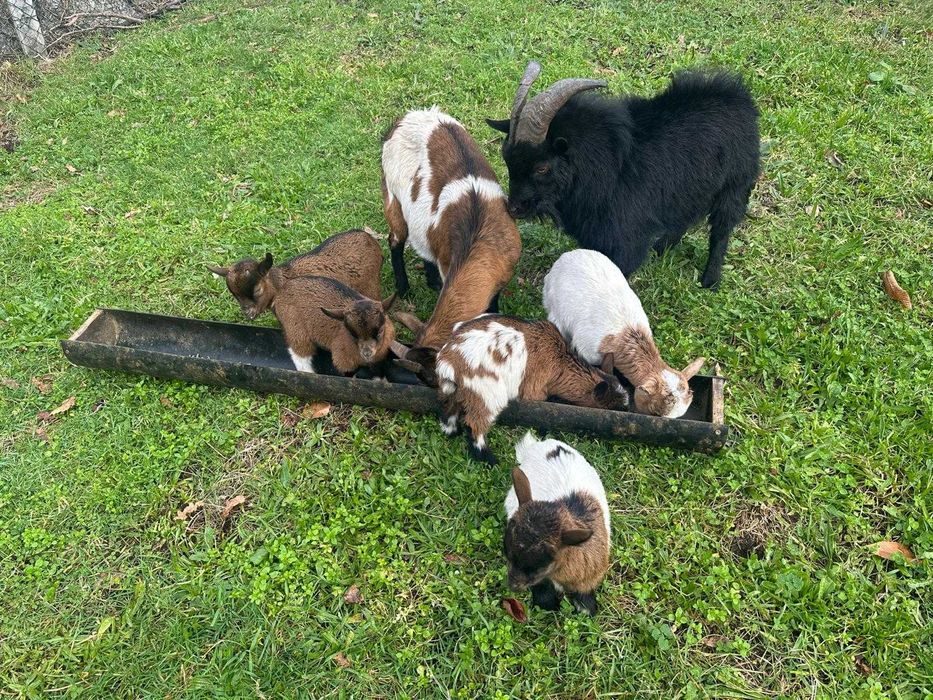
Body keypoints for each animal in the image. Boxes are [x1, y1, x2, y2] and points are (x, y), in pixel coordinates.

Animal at [207, 228, 383, 320]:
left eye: (257, 290)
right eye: (234, 295)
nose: (248, 314)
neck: (282, 282)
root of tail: (369, 237)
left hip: (371, 286)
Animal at [382, 108, 521, 377]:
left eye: (429, 377)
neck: (475, 234)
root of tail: (407, 117)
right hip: (392, 197)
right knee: (395, 240)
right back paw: (404, 287)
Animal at [434, 315, 629, 463]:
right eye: (614, 408)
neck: (559, 360)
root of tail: (449, 360)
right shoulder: (535, 390)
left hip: (457, 390)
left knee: (450, 410)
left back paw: (452, 431)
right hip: (487, 393)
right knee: (475, 423)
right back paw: (489, 459)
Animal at [487, 61, 760, 288]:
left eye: (541, 168)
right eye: (506, 158)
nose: (514, 208)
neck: (608, 170)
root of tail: (739, 96)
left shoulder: (624, 244)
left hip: (736, 184)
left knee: (722, 230)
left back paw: (710, 281)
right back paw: (661, 248)